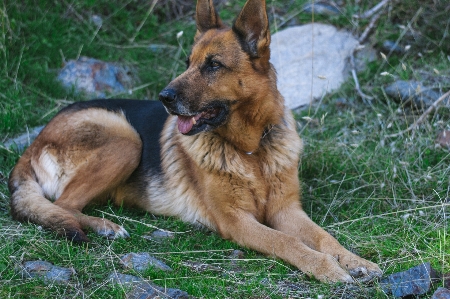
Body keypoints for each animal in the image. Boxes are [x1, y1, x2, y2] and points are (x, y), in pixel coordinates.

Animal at [7, 0, 380, 284]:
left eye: (213, 65)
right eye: (188, 63)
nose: (164, 98)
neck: (251, 151)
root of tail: (34, 143)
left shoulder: (286, 210)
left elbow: (322, 236)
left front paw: (353, 260)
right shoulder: (237, 221)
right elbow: (287, 241)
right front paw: (325, 268)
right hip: (126, 138)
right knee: (63, 206)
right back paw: (105, 227)